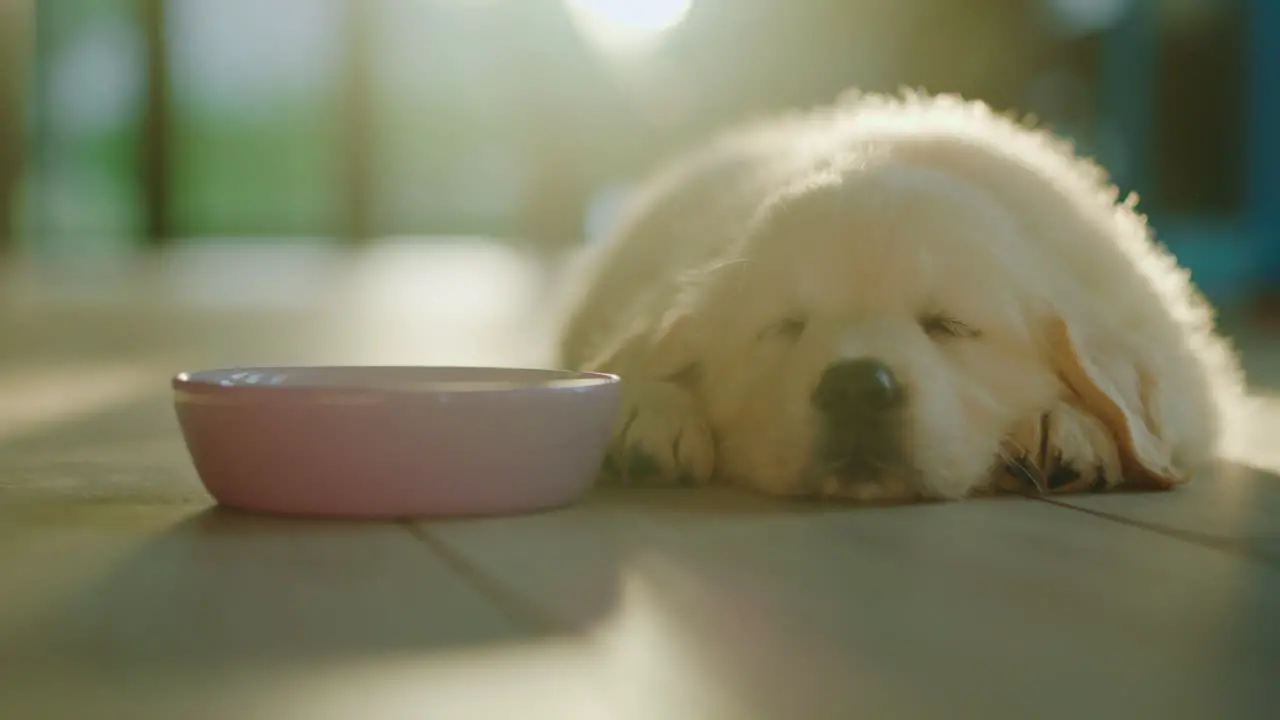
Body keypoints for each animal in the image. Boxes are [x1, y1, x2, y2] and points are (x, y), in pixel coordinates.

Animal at [555, 89, 1244, 499]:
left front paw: (1065, 425)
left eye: (949, 326)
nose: (858, 387)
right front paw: (651, 410)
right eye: (785, 327)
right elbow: (637, 351)